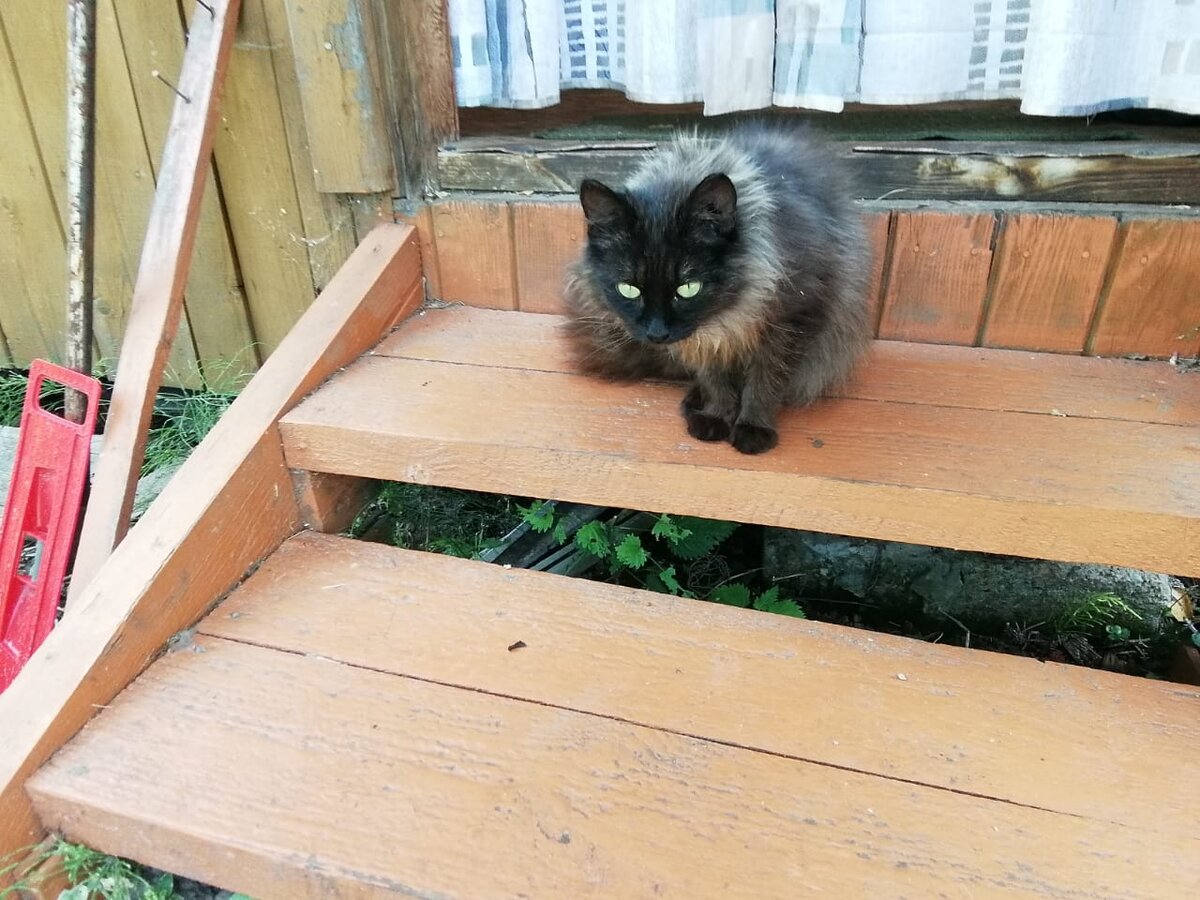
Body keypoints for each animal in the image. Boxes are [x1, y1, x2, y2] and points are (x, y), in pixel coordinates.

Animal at [561, 123, 873, 453]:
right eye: (629, 289)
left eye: (688, 288)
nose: (657, 333)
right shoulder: (705, 340)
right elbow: (715, 380)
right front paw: (716, 416)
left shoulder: (794, 320)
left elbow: (766, 381)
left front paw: (752, 427)